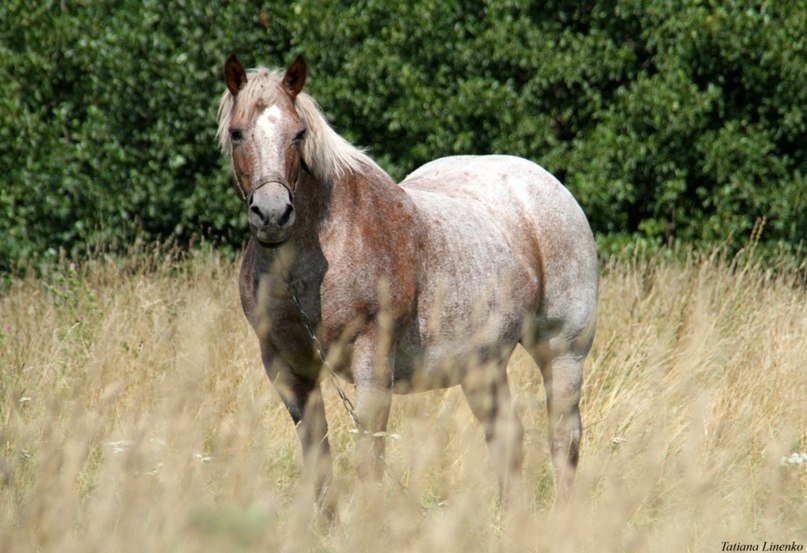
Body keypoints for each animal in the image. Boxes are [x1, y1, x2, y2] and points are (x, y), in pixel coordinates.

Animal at [218, 54, 596, 516]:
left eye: (299, 134)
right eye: (237, 133)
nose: (272, 215)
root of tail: (548, 187)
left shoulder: (373, 361)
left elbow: (369, 460)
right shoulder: (289, 370)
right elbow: (318, 459)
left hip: (562, 351)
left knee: (563, 438)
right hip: (482, 365)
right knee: (508, 438)